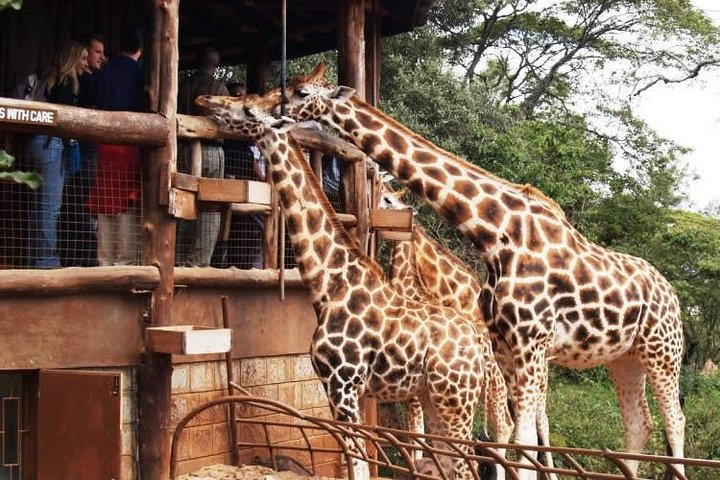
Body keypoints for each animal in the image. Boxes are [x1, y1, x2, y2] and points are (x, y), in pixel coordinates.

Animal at [195, 92, 487, 480]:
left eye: (246, 108)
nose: (205, 100)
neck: (329, 283)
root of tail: (478, 345)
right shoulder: (332, 387)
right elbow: (352, 460)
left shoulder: (344, 385)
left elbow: (359, 462)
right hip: (433, 397)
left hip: (456, 399)